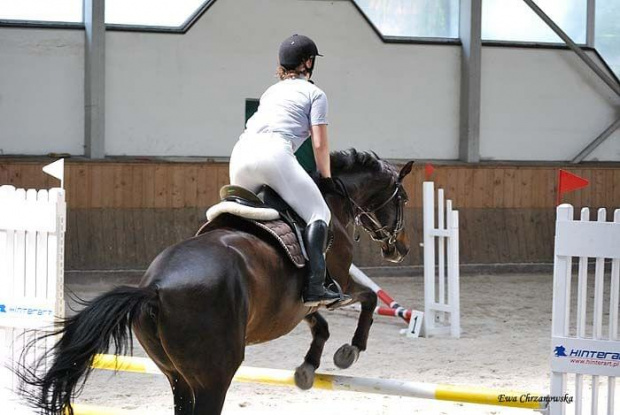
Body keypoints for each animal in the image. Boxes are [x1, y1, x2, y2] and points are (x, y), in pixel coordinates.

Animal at [19, 150, 414, 415]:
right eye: (404, 199)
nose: (401, 249)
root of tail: (155, 287)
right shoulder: (338, 286)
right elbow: (366, 301)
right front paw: (351, 350)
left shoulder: (296, 306)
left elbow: (321, 325)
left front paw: (307, 369)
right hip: (214, 374)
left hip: (176, 374)